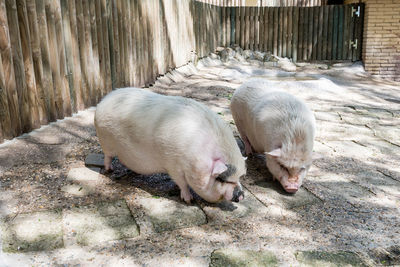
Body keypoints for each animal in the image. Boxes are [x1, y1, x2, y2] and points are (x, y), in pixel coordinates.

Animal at [95, 87, 245, 203]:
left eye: (239, 178)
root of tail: (103, 101)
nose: (241, 195)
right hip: (105, 140)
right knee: (107, 156)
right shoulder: (173, 165)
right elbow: (182, 183)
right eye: (222, 179)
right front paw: (189, 200)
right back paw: (109, 170)